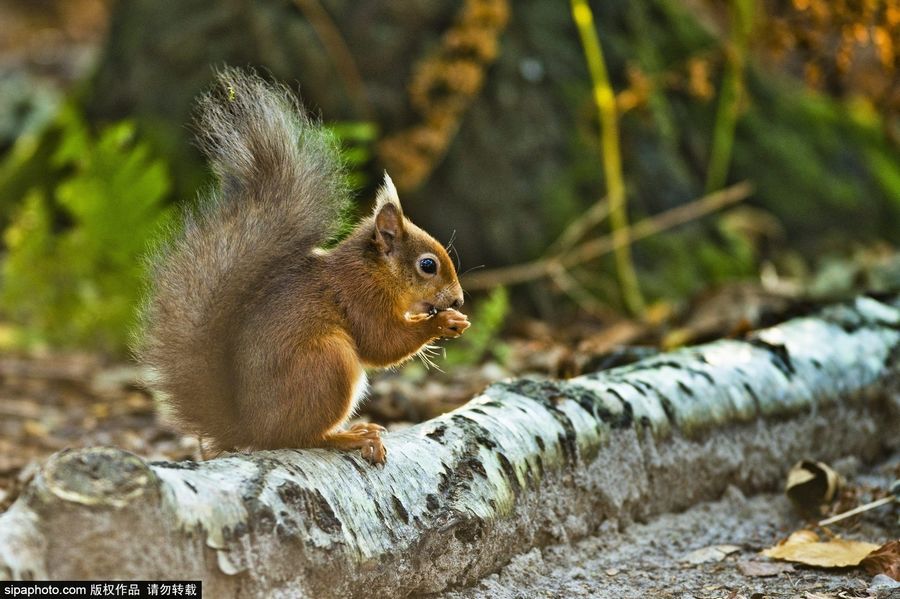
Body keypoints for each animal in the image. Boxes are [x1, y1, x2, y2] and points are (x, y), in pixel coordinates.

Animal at [141, 70, 472, 464]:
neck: (376, 272)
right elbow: (382, 343)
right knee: (303, 437)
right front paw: (442, 322)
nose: (458, 300)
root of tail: (253, 430)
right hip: (327, 363)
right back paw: (350, 436)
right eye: (427, 265)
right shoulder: (361, 297)